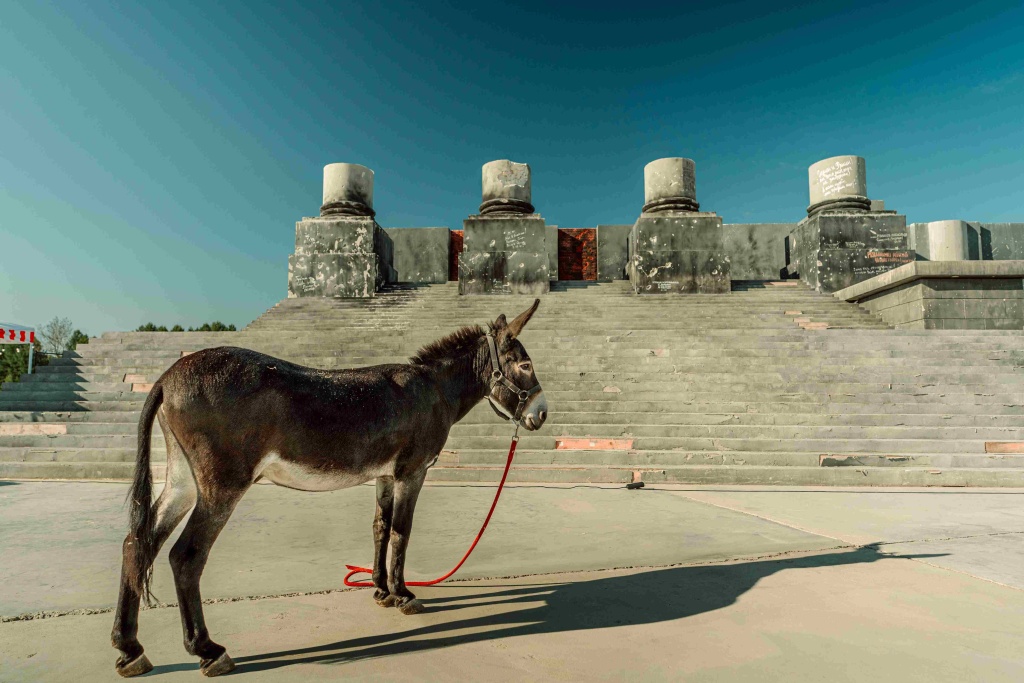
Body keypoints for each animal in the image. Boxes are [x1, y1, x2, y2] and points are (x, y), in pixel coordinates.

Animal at [111, 300, 548, 677]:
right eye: (525, 364)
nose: (541, 415)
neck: (434, 389)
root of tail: (167, 377)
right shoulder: (412, 472)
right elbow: (402, 531)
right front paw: (404, 595)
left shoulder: (384, 475)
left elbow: (380, 528)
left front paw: (380, 590)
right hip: (222, 485)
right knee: (185, 556)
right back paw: (207, 650)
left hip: (183, 480)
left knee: (137, 543)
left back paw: (129, 649)